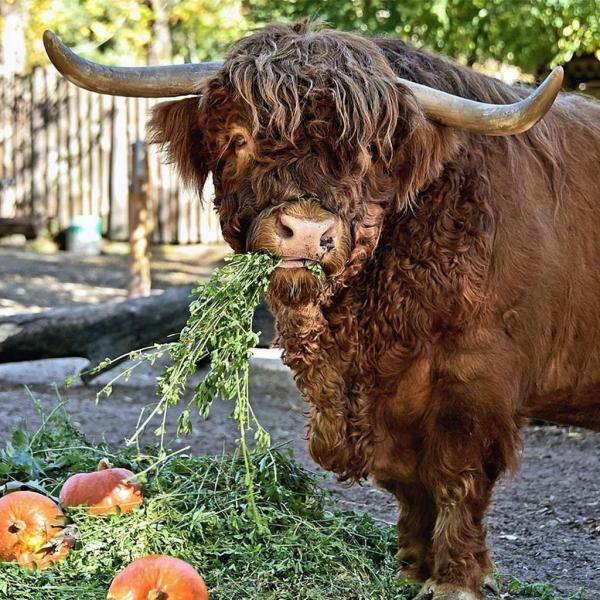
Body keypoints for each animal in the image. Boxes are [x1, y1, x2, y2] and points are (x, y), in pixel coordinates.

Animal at [44, 21, 600, 596]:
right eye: (240, 139)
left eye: (368, 156)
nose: (307, 231)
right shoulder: (389, 402)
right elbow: (410, 484)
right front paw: (410, 568)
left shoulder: (477, 384)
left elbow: (456, 479)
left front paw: (453, 580)